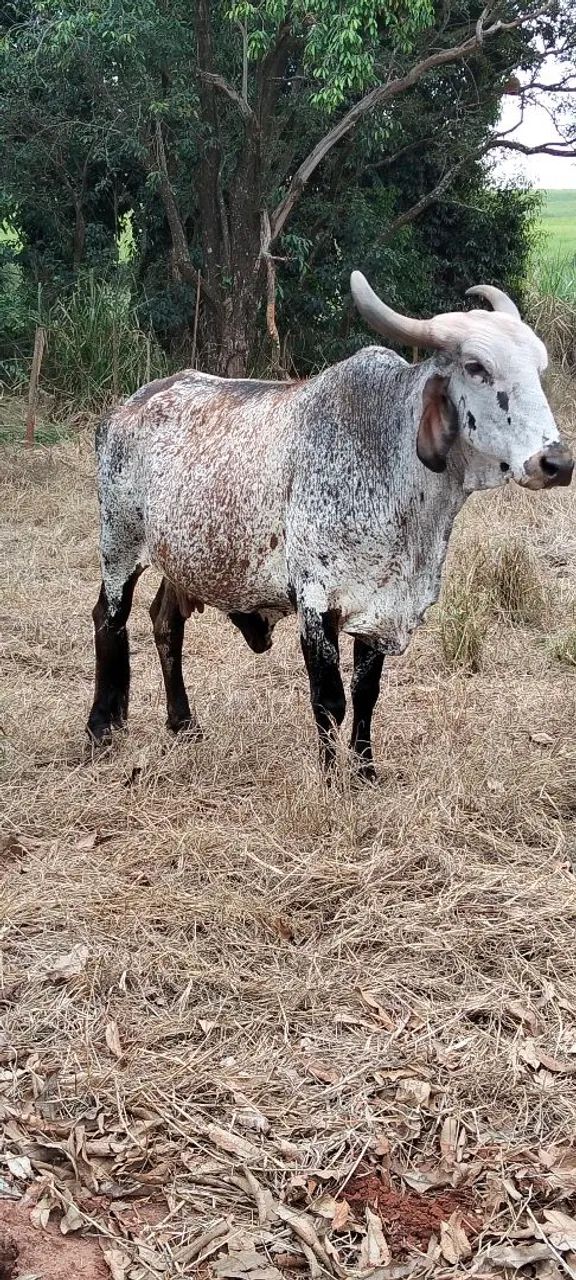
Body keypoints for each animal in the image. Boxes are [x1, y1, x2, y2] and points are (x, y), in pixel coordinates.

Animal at [87, 274, 573, 779]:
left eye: (538, 368)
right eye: (476, 367)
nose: (556, 463)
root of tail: (125, 407)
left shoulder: (379, 609)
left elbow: (365, 694)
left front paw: (364, 770)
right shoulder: (317, 601)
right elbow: (328, 699)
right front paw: (327, 775)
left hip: (180, 560)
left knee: (165, 622)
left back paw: (182, 723)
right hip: (118, 544)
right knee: (109, 619)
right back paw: (102, 726)